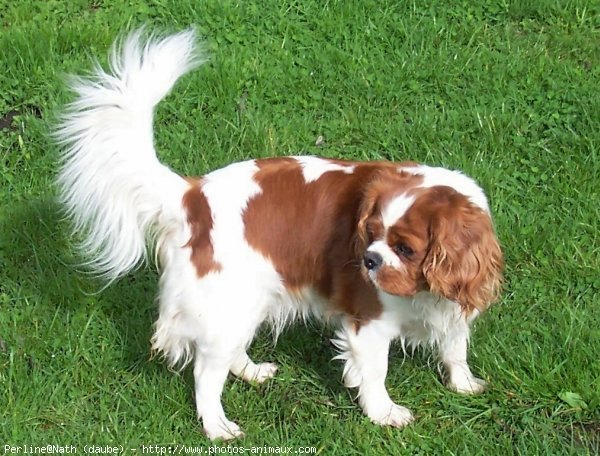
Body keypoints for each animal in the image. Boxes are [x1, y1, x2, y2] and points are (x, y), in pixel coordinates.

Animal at [58, 29, 504, 442]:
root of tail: (191, 195)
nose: (370, 260)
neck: (425, 292)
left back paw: (253, 372)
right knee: (206, 373)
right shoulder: (369, 324)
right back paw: (217, 427)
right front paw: (384, 414)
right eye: (370, 234)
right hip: (227, 305)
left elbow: (456, 348)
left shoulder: (453, 308)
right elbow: (375, 372)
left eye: (406, 249)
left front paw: (464, 384)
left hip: (246, 301)